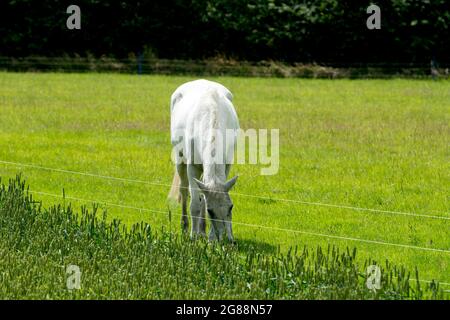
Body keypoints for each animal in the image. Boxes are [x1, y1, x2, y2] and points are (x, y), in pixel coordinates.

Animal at [169, 79, 239, 241]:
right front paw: (193, 237)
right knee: (184, 190)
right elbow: (195, 203)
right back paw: (186, 226)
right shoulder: (192, 167)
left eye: (231, 207)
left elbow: (203, 198)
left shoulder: (226, 166)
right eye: (210, 211)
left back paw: (202, 230)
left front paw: (210, 238)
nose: (227, 239)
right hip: (180, 159)